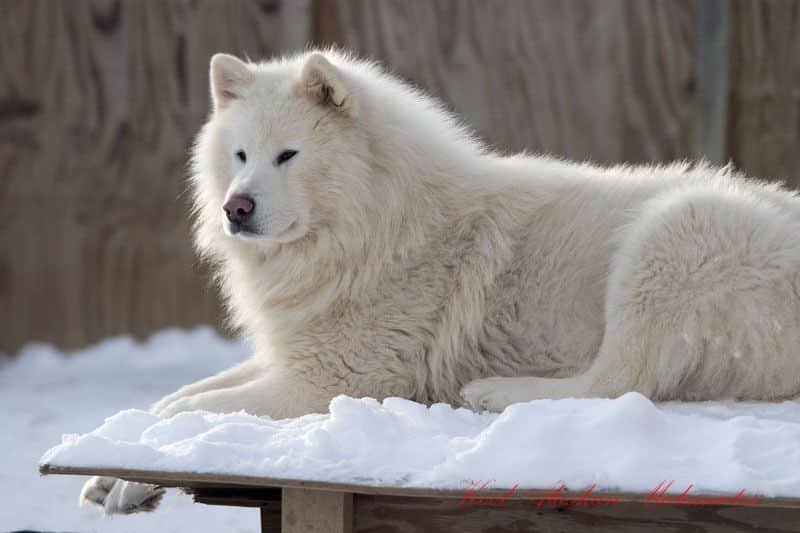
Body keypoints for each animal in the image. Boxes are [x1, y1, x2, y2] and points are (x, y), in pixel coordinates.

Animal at [81, 48, 800, 512]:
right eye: (239, 156)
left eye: (288, 155)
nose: (236, 208)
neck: (371, 229)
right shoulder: (292, 355)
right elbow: (179, 398)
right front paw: (123, 476)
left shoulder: (333, 382)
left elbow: (188, 408)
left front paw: (137, 466)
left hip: (671, 232)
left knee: (616, 381)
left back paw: (494, 392)